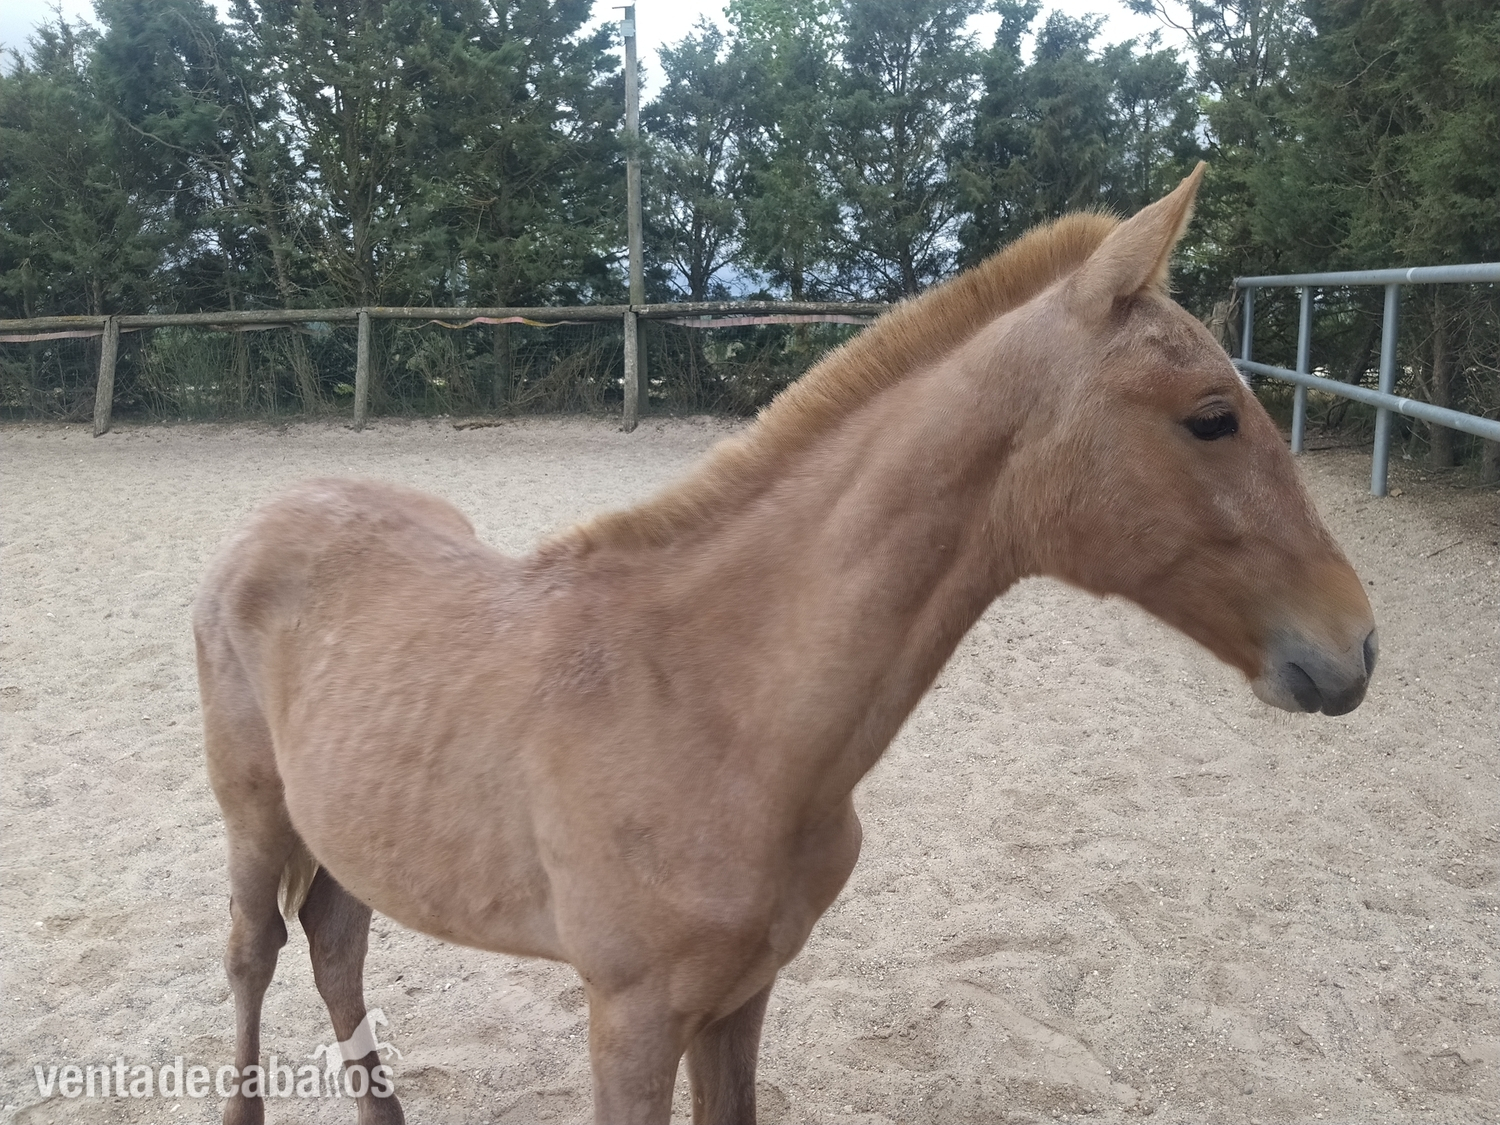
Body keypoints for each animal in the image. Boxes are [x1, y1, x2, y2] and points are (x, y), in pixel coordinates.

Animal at [193, 165, 1376, 1125]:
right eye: (1212, 415)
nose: (1356, 645)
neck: (719, 706)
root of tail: (272, 513)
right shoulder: (629, 1017)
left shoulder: (741, 996)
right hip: (256, 813)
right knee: (255, 955)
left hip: (348, 828)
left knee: (337, 943)